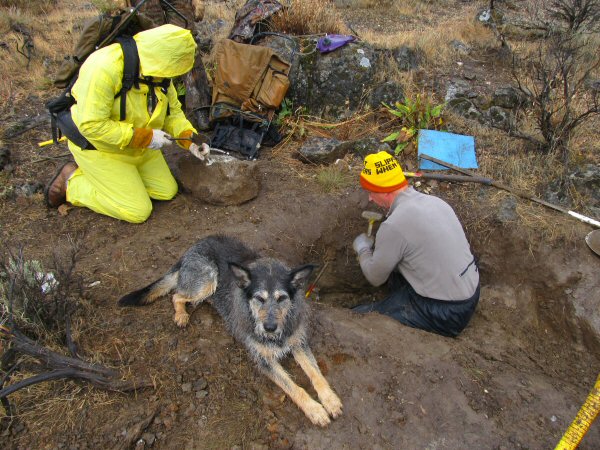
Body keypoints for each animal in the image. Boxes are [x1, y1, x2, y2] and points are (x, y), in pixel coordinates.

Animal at [118, 234, 342, 428]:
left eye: (282, 298)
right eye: (259, 298)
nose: (269, 328)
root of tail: (191, 249)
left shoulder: (298, 343)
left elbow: (316, 373)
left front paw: (330, 400)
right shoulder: (263, 361)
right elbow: (294, 388)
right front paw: (315, 410)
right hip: (208, 279)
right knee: (177, 295)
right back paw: (181, 315)